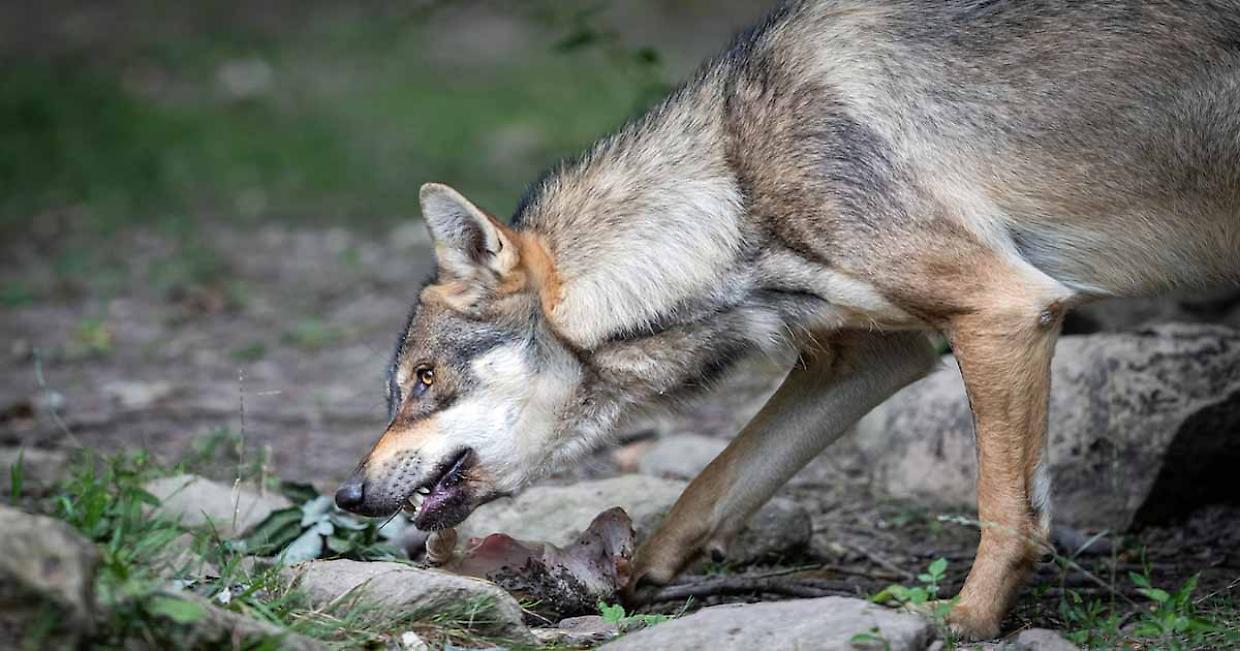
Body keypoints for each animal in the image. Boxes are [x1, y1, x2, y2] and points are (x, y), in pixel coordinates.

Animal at [334, 0, 1240, 638]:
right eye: (399, 386)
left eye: (423, 380)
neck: (733, 187)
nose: (346, 494)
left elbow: (1005, 509)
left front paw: (969, 622)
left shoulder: (1005, 310)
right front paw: (624, 576)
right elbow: (712, 484)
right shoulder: (878, 357)